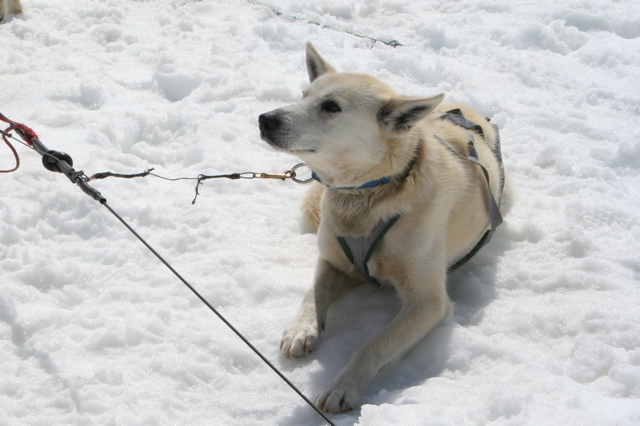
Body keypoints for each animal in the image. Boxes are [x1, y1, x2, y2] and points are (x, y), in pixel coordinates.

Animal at [258, 43, 508, 412]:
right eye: (303, 96)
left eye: (331, 106)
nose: (265, 118)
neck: (368, 198)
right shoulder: (333, 261)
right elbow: (313, 292)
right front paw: (302, 329)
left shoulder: (427, 303)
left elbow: (373, 345)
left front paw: (343, 385)